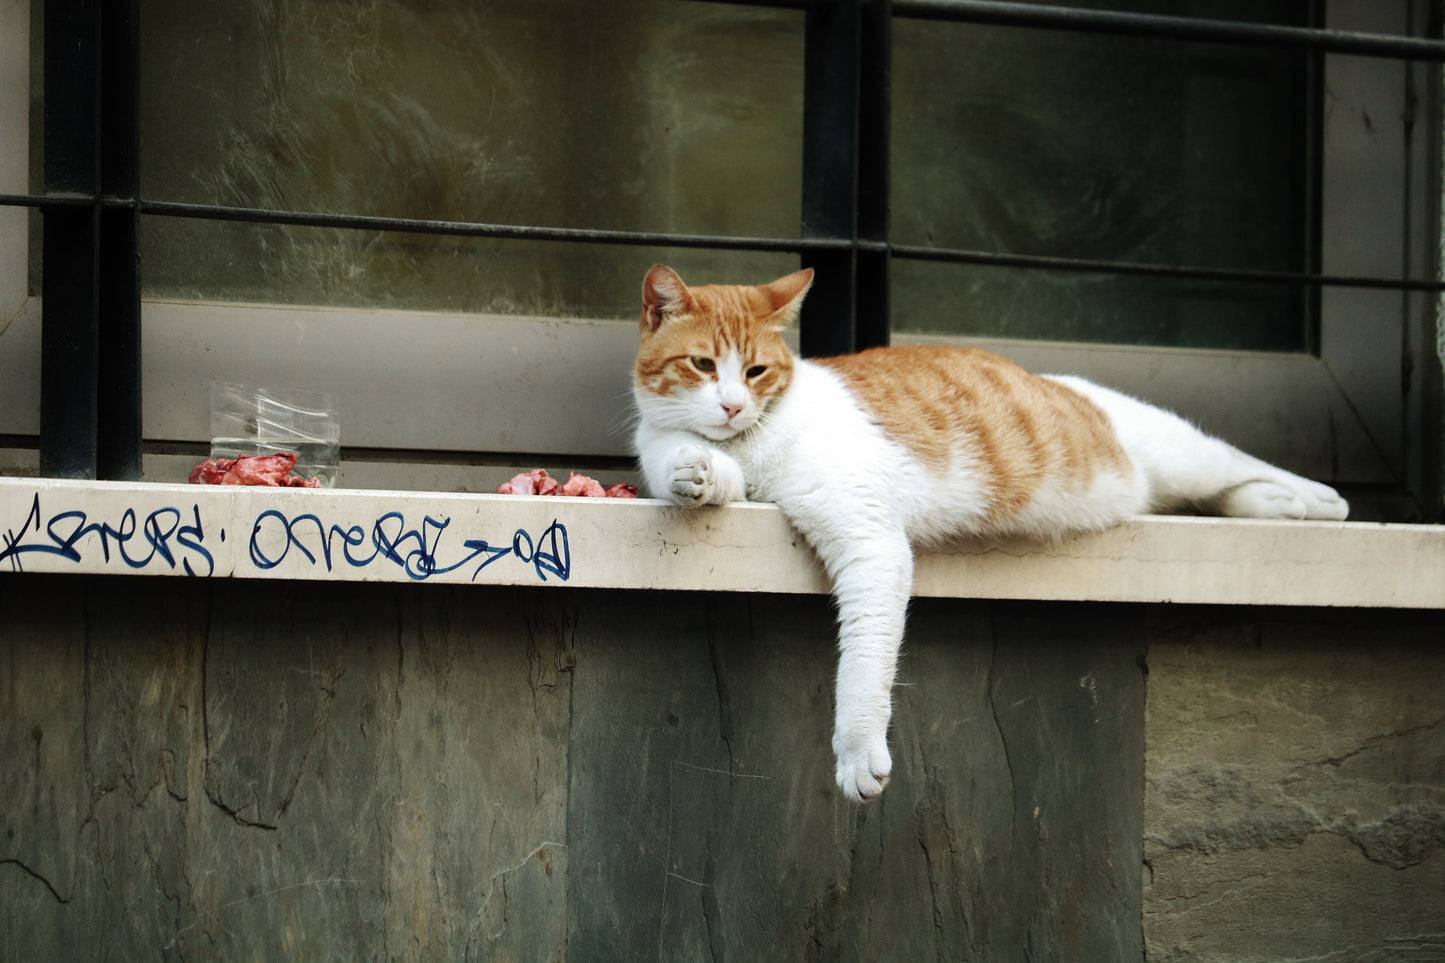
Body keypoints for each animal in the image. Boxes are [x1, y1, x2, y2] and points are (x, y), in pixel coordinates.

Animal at [627, 263, 1346, 803]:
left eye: (756, 372)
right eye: (701, 364)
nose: (731, 406)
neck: (751, 446)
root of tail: (1046, 376)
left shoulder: (870, 540)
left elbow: (862, 662)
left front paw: (858, 751)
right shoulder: (676, 450)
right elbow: (689, 466)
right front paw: (697, 473)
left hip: (1171, 448)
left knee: (1234, 462)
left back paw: (1313, 499)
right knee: (1218, 489)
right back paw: (1277, 504)